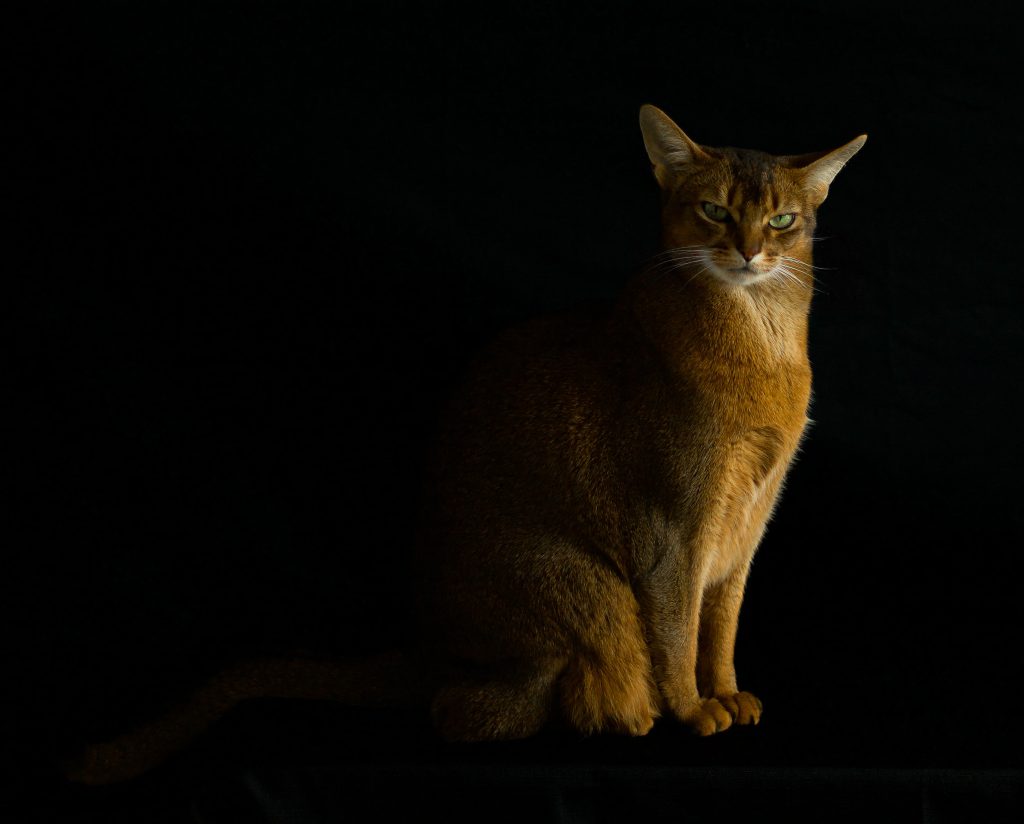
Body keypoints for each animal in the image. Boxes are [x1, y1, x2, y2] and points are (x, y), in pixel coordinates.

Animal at [66, 105, 864, 782]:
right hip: (589, 587)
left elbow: (719, 625)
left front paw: (725, 692)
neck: (761, 343)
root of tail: (433, 647)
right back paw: (617, 715)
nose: (751, 252)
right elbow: (677, 629)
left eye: (783, 220)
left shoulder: (745, 523)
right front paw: (692, 710)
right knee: (465, 707)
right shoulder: (672, 527)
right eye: (714, 211)